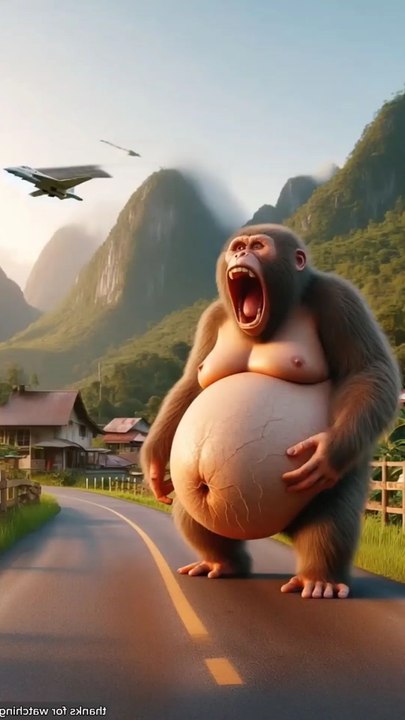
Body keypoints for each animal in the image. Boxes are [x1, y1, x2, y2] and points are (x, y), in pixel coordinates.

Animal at [140, 224, 401, 599]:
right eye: (238, 245)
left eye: (258, 246)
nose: (239, 254)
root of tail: (277, 532)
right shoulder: (213, 317)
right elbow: (192, 381)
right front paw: (154, 464)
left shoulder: (339, 297)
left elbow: (368, 370)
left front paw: (326, 450)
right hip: (200, 494)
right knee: (190, 507)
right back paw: (223, 563)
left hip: (334, 477)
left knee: (332, 512)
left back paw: (318, 578)